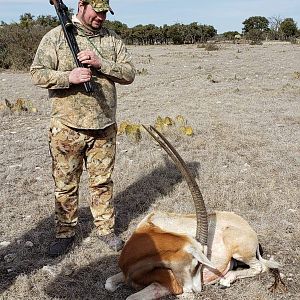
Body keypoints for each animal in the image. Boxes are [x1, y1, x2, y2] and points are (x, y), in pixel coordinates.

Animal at [106, 125, 286, 298]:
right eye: (197, 263)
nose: (197, 290)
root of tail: (249, 229)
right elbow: (108, 283)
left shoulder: (169, 286)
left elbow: (131, 297)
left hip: (240, 251)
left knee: (261, 267)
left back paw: (226, 280)